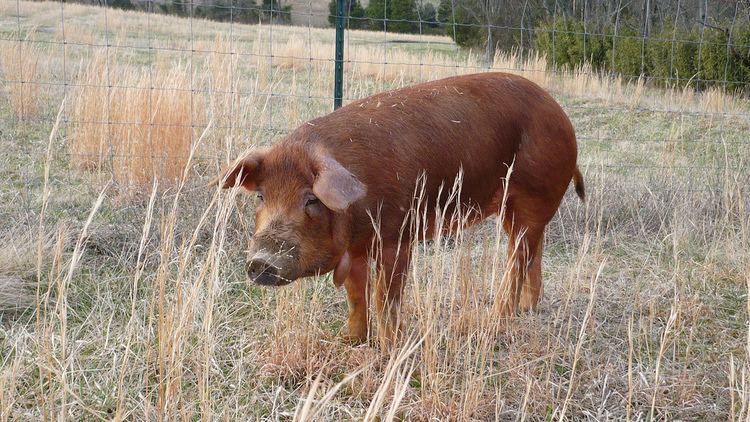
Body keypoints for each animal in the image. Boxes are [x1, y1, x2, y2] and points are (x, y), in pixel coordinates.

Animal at [214, 71, 584, 342]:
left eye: (311, 199)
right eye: (261, 196)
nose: (261, 261)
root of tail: (563, 117)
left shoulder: (397, 236)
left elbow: (384, 298)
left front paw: (390, 347)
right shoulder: (358, 248)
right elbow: (356, 296)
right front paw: (351, 341)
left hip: (533, 194)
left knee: (517, 259)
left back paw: (496, 318)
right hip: (514, 208)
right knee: (533, 252)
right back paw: (528, 309)